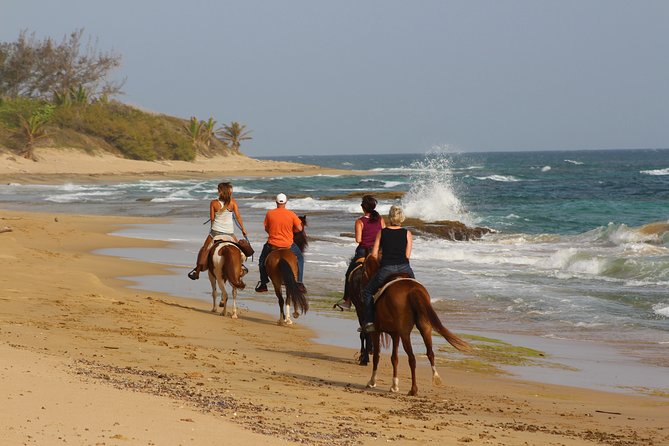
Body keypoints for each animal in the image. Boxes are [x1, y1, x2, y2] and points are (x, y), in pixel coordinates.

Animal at [362, 256, 472, 396]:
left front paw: (372, 382)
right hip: (425, 328)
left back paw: (413, 389)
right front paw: (394, 386)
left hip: (405, 333)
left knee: (412, 358)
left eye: (363, 270)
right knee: (430, 353)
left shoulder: (377, 332)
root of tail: (412, 289)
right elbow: (394, 358)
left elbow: (377, 356)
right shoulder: (395, 334)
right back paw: (436, 378)